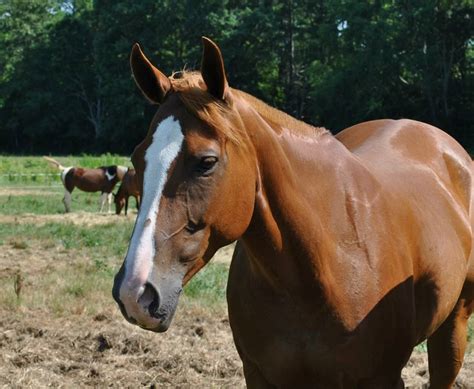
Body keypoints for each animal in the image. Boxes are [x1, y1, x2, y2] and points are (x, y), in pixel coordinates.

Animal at [112, 37, 474, 388]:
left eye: (207, 162)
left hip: (454, 325)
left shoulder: (381, 378)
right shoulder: (260, 375)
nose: (134, 290)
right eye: (137, 158)